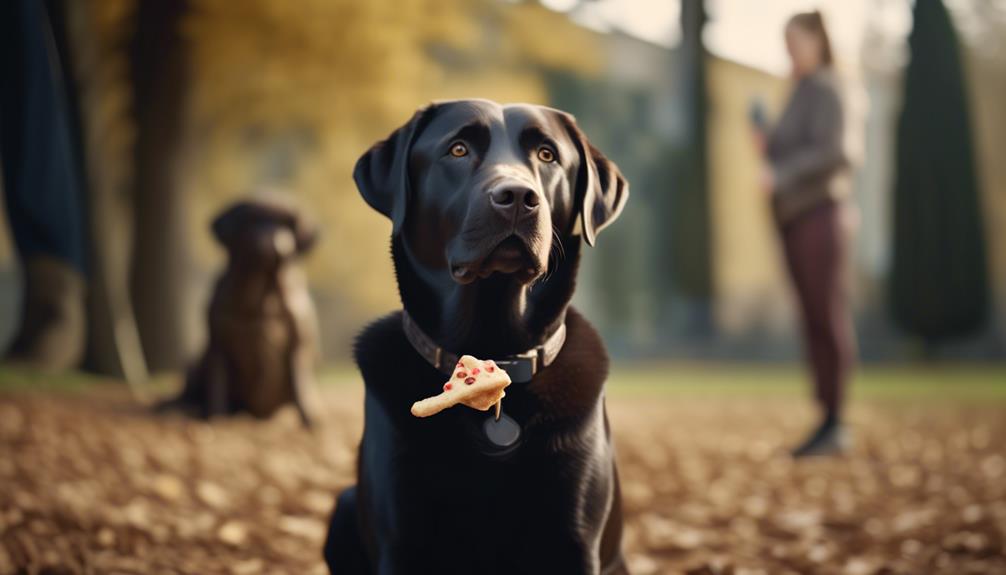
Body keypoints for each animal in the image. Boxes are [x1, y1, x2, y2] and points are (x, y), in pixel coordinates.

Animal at [160, 198, 319, 426]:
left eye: (286, 222)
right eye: (251, 219)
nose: (272, 241)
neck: (261, 300)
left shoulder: (299, 344)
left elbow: (301, 384)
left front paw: (310, 419)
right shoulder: (218, 344)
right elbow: (217, 387)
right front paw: (216, 418)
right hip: (193, 365)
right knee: (188, 395)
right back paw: (178, 409)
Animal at [325, 101, 627, 570]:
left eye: (547, 155)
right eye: (458, 149)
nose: (518, 197)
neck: (495, 349)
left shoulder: (574, 541)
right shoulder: (402, 538)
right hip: (343, 507)